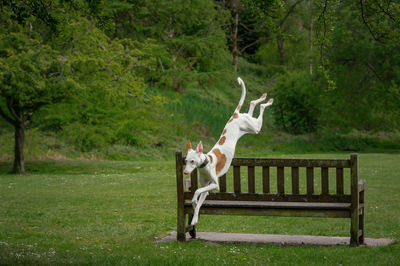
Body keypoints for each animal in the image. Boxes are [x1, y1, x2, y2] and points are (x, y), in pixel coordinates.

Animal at [184, 76, 272, 224]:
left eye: (192, 161)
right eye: (185, 161)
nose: (185, 172)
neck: (206, 163)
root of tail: (235, 115)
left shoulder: (214, 185)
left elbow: (196, 191)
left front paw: (194, 202)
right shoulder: (207, 188)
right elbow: (199, 197)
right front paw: (195, 216)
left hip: (255, 128)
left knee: (258, 108)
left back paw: (267, 101)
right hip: (247, 126)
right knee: (252, 104)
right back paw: (262, 99)